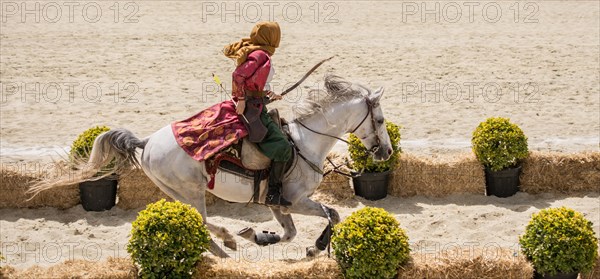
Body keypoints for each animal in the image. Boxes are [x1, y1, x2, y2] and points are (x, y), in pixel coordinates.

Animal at [28, 75, 396, 260]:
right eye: (379, 120)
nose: (386, 152)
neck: (306, 141)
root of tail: (147, 141)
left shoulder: (277, 204)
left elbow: (290, 232)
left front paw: (262, 237)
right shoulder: (295, 200)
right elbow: (332, 214)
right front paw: (314, 248)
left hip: (178, 192)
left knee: (199, 222)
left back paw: (225, 245)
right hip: (191, 190)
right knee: (202, 222)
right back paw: (226, 245)